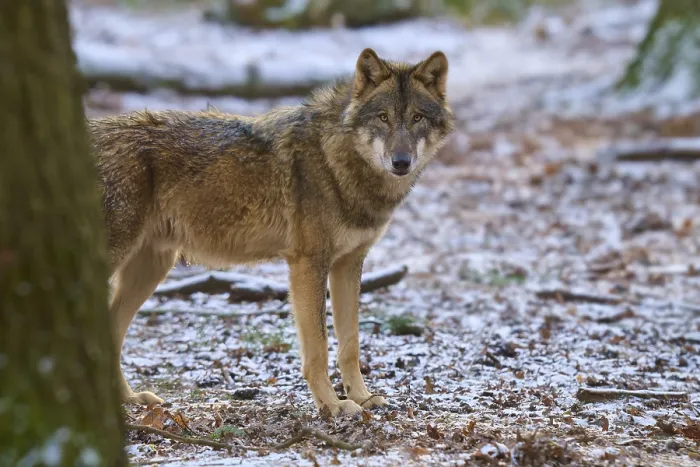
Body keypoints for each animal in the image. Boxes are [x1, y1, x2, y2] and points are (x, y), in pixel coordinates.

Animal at [91, 48, 455, 416]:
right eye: (383, 117)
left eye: (417, 118)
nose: (401, 162)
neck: (335, 160)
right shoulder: (308, 264)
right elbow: (319, 347)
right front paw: (332, 405)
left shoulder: (348, 264)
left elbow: (350, 343)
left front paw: (362, 398)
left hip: (151, 269)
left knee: (110, 335)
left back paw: (128, 400)